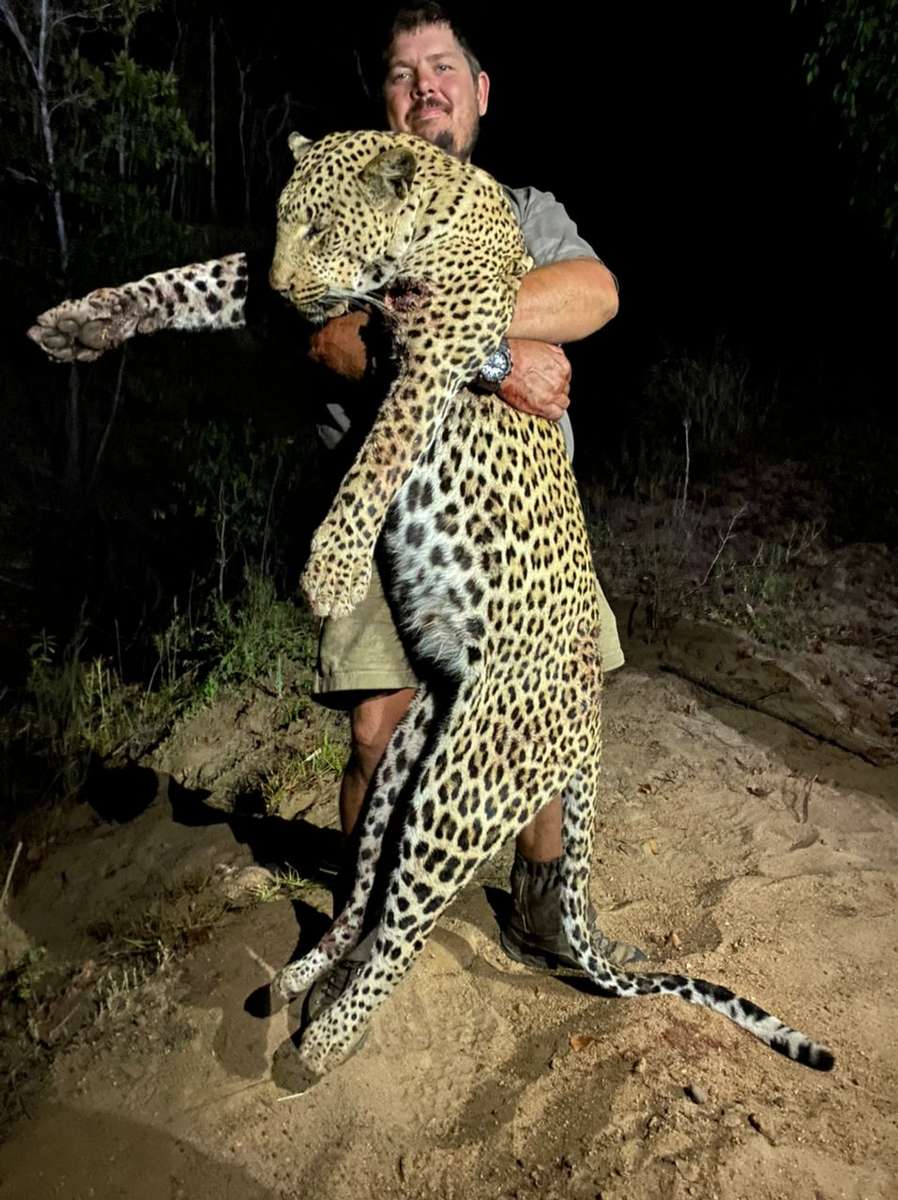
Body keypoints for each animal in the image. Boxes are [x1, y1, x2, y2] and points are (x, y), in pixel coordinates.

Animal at [26, 131, 835, 1089]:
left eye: (322, 223)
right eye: (282, 223)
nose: (284, 288)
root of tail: (590, 726)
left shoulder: (442, 338)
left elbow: (380, 450)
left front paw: (332, 567)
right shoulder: (321, 296)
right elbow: (186, 280)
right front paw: (82, 322)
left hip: (465, 786)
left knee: (408, 926)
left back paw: (326, 1040)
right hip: (407, 764)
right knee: (367, 894)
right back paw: (303, 976)